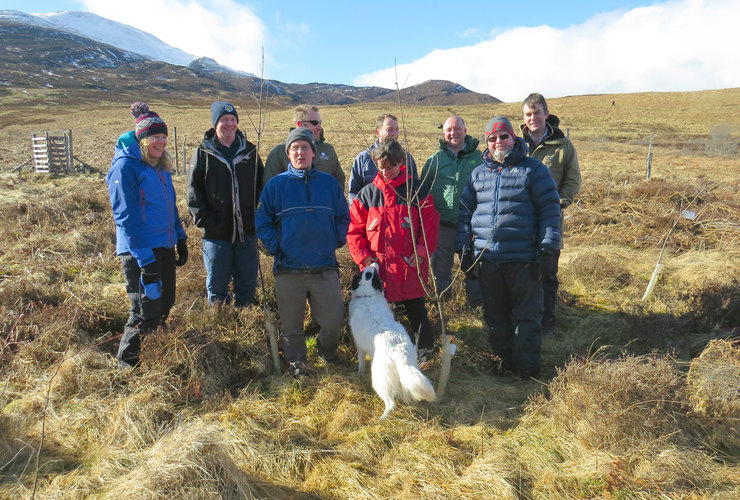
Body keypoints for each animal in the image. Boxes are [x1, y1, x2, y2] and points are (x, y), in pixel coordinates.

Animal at [350, 264, 436, 420]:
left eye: (370, 273)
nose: (375, 263)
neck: (368, 296)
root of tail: (399, 352)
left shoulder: (360, 348)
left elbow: (361, 362)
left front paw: (359, 373)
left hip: (380, 379)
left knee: (391, 403)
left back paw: (382, 418)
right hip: (409, 370)